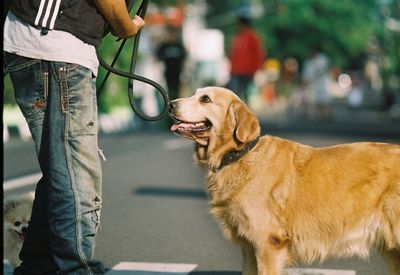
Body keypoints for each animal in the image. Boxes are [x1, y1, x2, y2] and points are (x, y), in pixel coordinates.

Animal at [169, 87, 400, 275]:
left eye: (205, 99)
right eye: (194, 93)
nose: (170, 104)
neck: (240, 155)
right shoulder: (248, 248)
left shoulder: (268, 243)